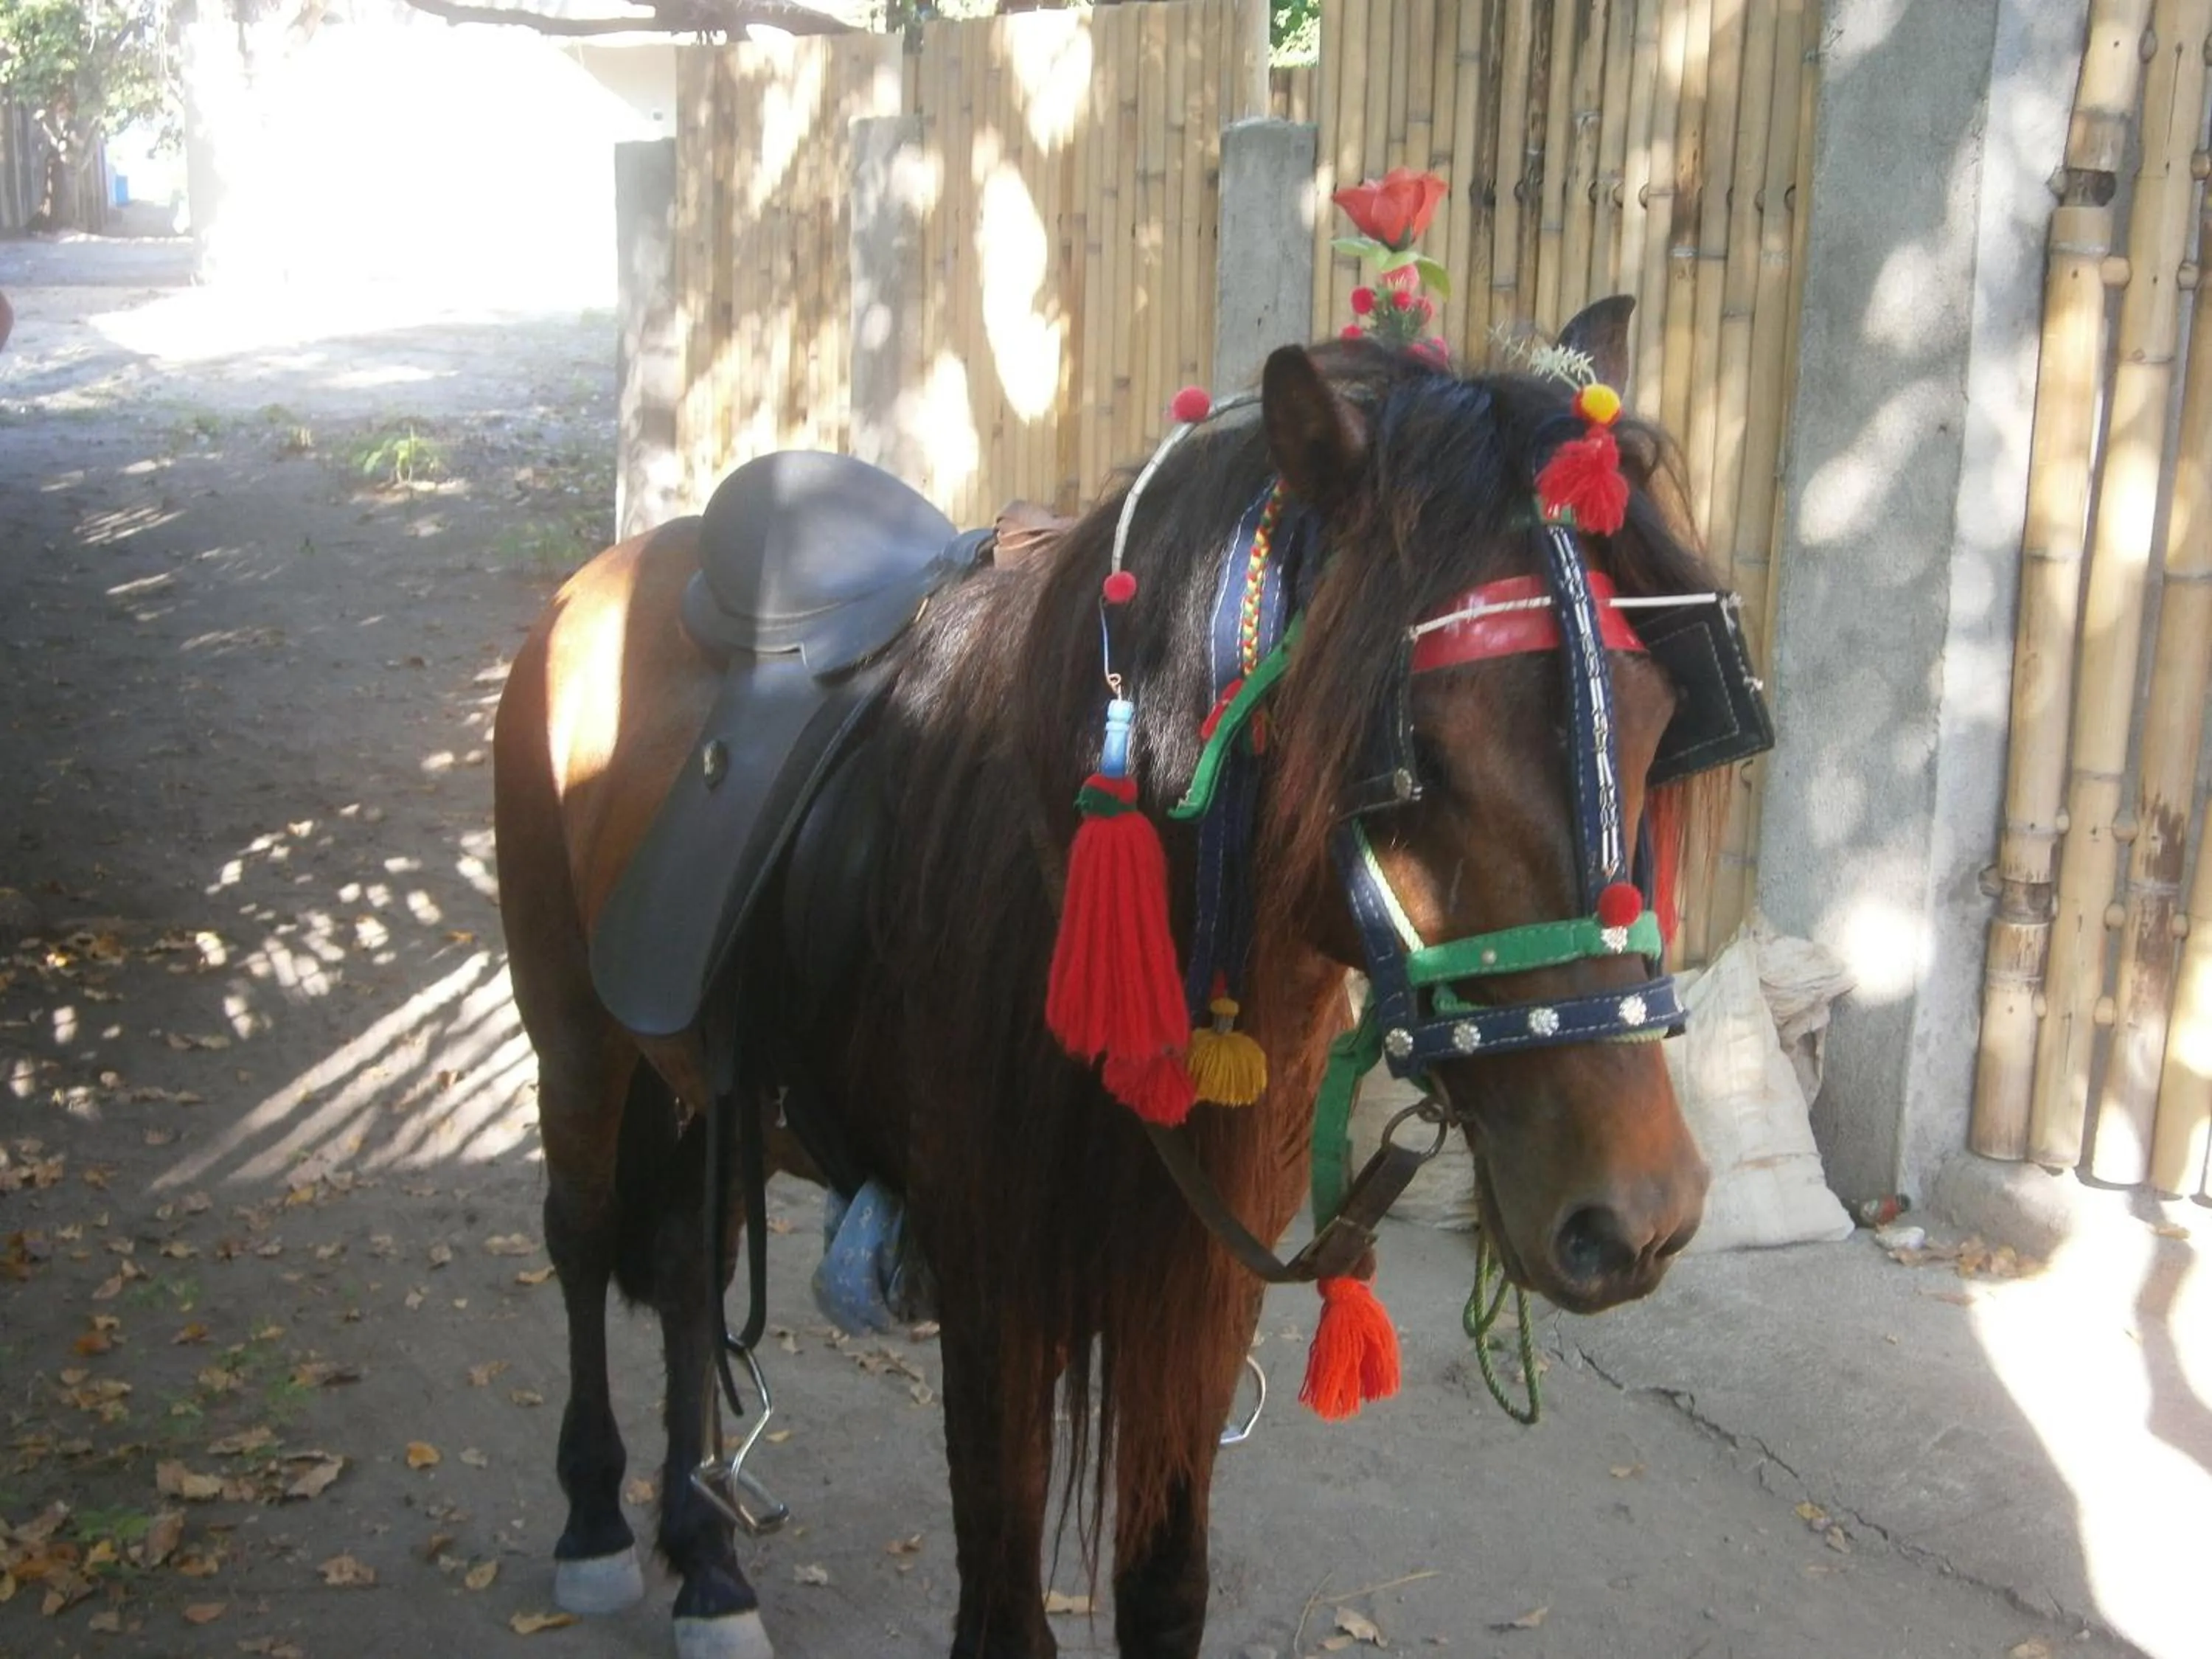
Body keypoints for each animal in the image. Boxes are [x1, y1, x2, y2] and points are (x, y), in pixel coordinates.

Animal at [491, 297, 1739, 1659]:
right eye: (1412, 752)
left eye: (1659, 712)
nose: (1639, 1212)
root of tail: (613, 570)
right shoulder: (994, 1290)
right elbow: (1003, 1612)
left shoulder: (1196, 1286)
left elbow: (1164, 1590)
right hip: (577, 1036)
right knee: (581, 1233)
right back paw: (597, 1520)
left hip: (709, 1086)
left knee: (682, 1267)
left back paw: (709, 1560)